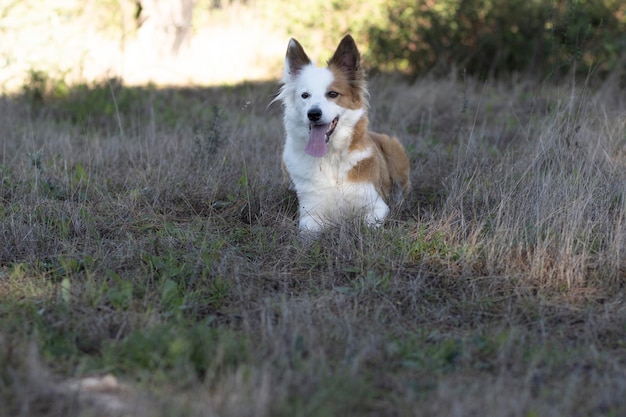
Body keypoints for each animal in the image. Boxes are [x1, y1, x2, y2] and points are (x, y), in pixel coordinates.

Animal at [272, 34, 410, 232]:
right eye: (305, 95)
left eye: (332, 94)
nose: (313, 114)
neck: (330, 157)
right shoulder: (310, 214)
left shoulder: (376, 206)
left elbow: (368, 224)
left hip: (393, 148)